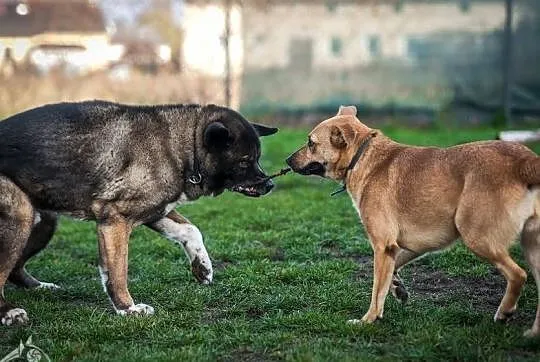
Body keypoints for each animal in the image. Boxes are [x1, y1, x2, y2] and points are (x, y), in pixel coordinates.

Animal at [0, 101, 276, 326]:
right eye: (244, 161)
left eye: (258, 158)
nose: (270, 184)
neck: (185, 147)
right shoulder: (115, 221)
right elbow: (117, 272)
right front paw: (127, 308)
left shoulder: (156, 211)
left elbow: (190, 230)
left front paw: (203, 268)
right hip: (20, 217)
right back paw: (9, 312)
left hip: (43, 222)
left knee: (14, 269)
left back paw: (40, 288)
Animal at [288, 106, 540, 338]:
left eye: (310, 143)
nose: (287, 160)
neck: (363, 157)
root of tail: (525, 161)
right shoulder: (411, 245)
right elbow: (392, 270)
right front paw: (398, 289)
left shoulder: (382, 245)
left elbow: (376, 290)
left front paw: (368, 320)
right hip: (530, 246)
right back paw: (533, 333)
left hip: (477, 237)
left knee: (518, 275)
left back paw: (505, 312)